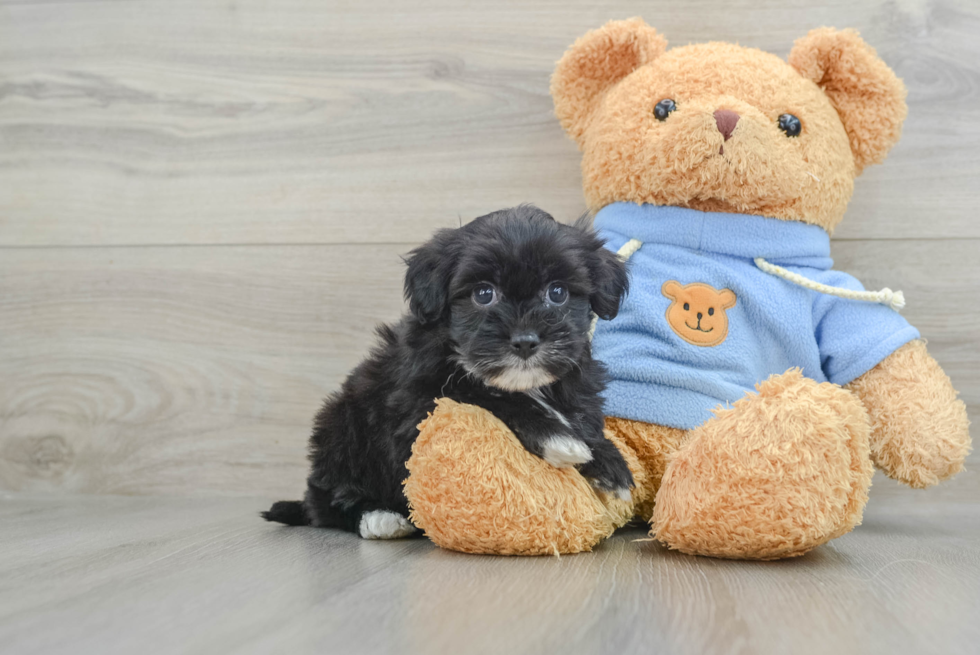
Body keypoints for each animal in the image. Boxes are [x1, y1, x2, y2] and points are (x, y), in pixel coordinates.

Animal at [266, 208, 636, 540]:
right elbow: (484, 394)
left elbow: (580, 417)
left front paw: (608, 463)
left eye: (557, 292)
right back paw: (378, 517)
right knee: (326, 499)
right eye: (483, 294)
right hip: (341, 428)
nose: (525, 341)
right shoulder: (421, 400)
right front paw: (556, 436)